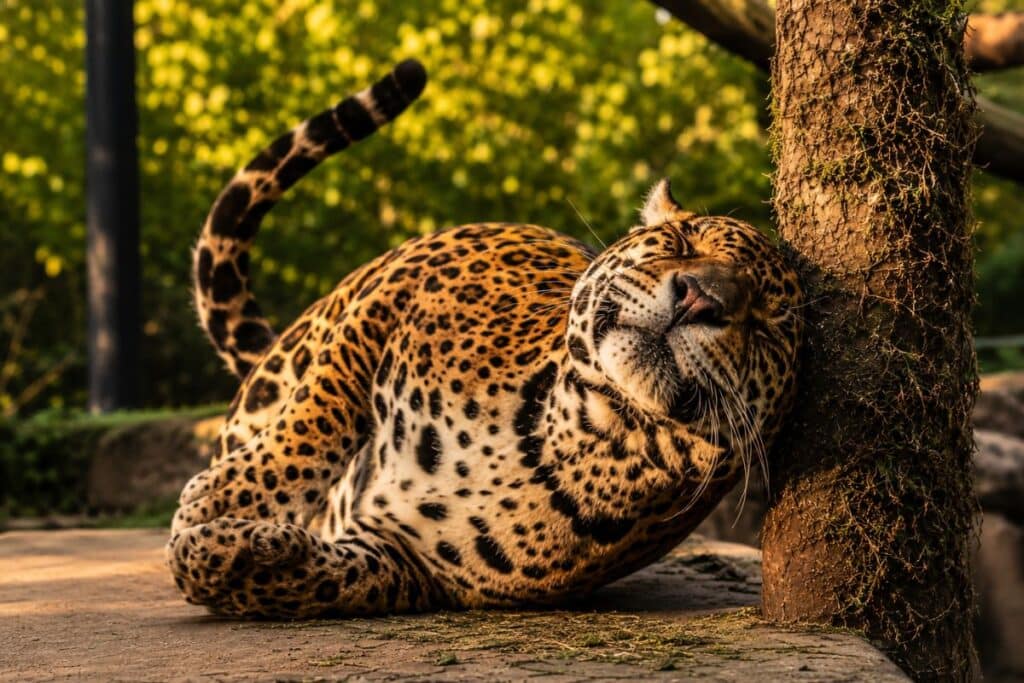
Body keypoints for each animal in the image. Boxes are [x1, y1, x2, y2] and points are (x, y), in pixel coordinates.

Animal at [167, 59, 804, 618]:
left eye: (765, 323)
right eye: (682, 241)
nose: (699, 296)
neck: (584, 426)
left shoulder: (405, 564)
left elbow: (304, 582)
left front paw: (234, 549)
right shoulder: (406, 284)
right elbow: (319, 414)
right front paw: (220, 501)